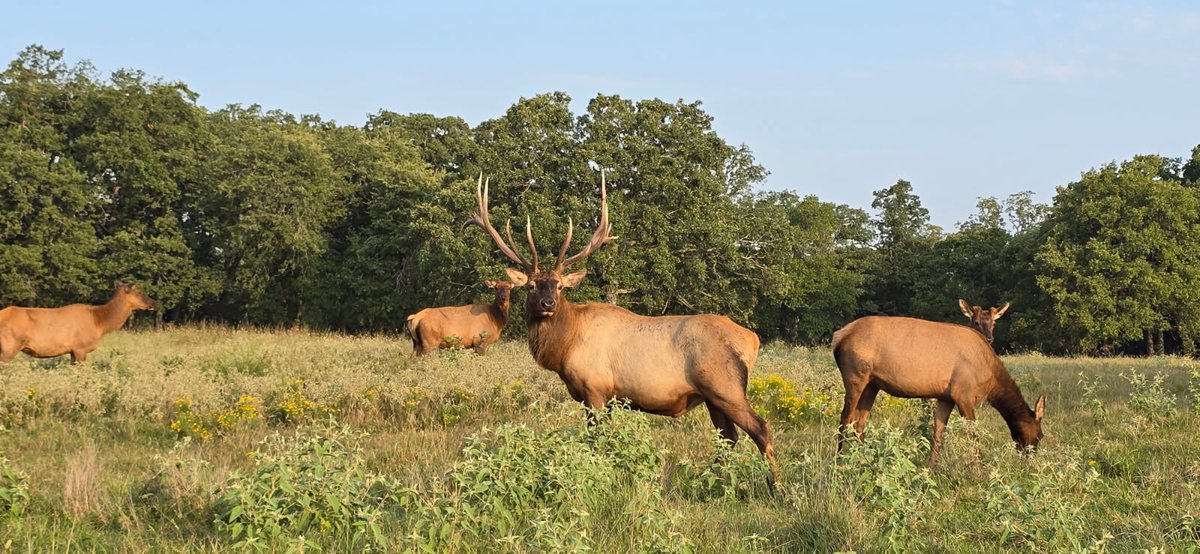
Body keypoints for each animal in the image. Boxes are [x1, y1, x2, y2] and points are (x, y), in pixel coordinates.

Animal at [0, 281, 157, 364]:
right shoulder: (81, 347)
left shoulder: (72, 351)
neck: (99, 323)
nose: (153, 302)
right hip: (9, 345)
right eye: (140, 292)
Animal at [469, 172, 778, 490]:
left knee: (760, 428)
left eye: (560, 286)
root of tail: (752, 340)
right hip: (712, 397)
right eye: (531, 285)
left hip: (725, 386)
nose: (547, 303)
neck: (565, 347)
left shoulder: (595, 389)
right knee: (728, 437)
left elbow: (597, 441)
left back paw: (775, 487)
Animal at [832, 315, 1045, 467]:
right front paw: (978, 467)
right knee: (845, 418)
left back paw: (865, 458)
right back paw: (840, 461)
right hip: (855, 375)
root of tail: (838, 337)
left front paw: (932, 468)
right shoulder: (963, 393)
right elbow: (973, 433)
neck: (991, 382)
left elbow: (938, 433)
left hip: (872, 384)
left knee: (859, 423)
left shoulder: (946, 397)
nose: (1030, 459)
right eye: (1040, 435)